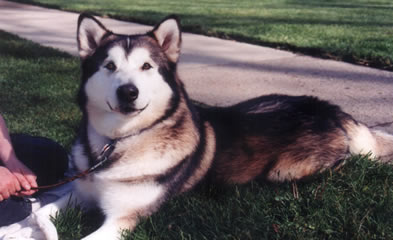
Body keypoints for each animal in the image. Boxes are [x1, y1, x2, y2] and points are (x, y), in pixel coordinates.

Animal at [0, 13, 392, 240]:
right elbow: (40, 212)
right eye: (109, 66)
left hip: (286, 171)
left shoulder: (122, 220)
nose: (129, 92)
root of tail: (328, 108)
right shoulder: (79, 193)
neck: (117, 144)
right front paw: (25, 225)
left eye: (146, 66)